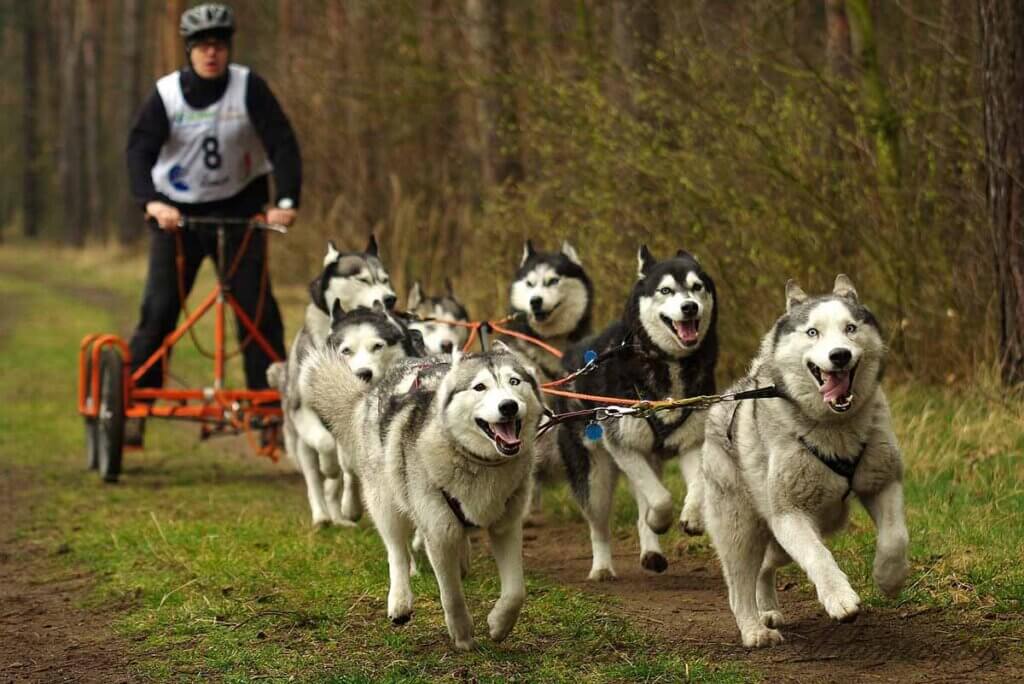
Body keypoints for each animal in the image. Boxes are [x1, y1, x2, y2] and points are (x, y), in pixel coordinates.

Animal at [301, 350, 544, 651]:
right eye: (480, 387)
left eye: (514, 381)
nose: (508, 406)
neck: (478, 462)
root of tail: (373, 390)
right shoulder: (438, 533)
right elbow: (451, 594)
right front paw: (462, 635)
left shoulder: (506, 526)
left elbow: (515, 592)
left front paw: (500, 625)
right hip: (386, 501)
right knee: (397, 552)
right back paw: (400, 600)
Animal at [548, 245, 716, 577]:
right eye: (665, 290)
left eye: (697, 287)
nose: (690, 307)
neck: (667, 364)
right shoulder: (623, 446)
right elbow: (661, 499)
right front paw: (659, 520)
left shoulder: (691, 443)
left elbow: (696, 485)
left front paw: (693, 516)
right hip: (596, 477)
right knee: (599, 525)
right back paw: (602, 567)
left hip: (647, 457)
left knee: (642, 505)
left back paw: (651, 552)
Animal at [704, 274, 913, 647]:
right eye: (813, 332)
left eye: (850, 328)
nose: (840, 355)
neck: (835, 428)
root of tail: (729, 395)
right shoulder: (789, 514)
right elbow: (818, 556)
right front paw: (839, 598)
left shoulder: (882, 482)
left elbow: (895, 538)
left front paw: (889, 577)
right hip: (741, 527)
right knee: (739, 583)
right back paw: (754, 628)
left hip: (793, 533)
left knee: (765, 566)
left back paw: (767, 608)